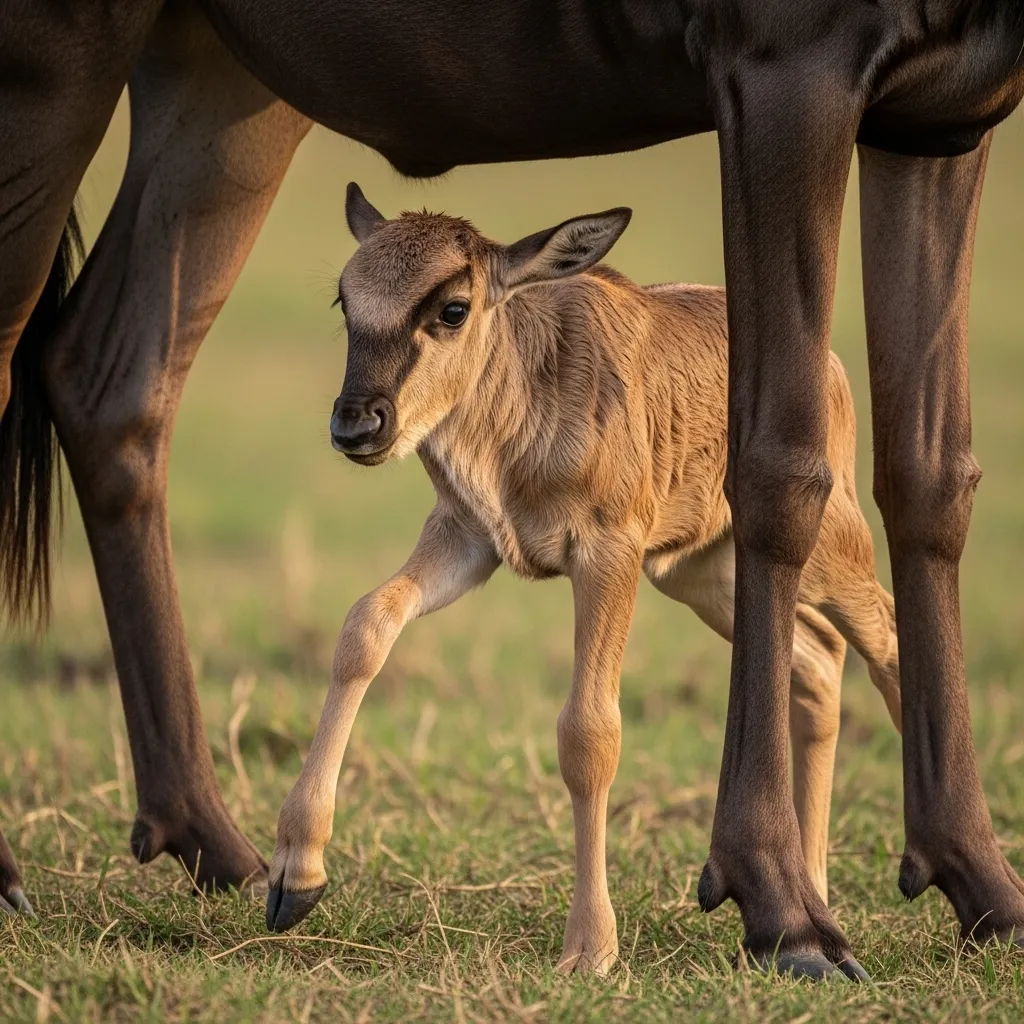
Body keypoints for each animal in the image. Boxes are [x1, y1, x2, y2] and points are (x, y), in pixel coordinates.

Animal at [266, 185, 902, 976]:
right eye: (347, 299)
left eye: (452, 307)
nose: (357, 424)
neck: (528, 387)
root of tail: (835, 373)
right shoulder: (467, 540)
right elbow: (365, 626)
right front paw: (295, 875)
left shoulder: (607, 555)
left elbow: (590, 731)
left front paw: (590, 947)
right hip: (706, 574)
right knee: (816, 661)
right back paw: (811, 896)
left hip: (828, 554)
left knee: (887, 638)